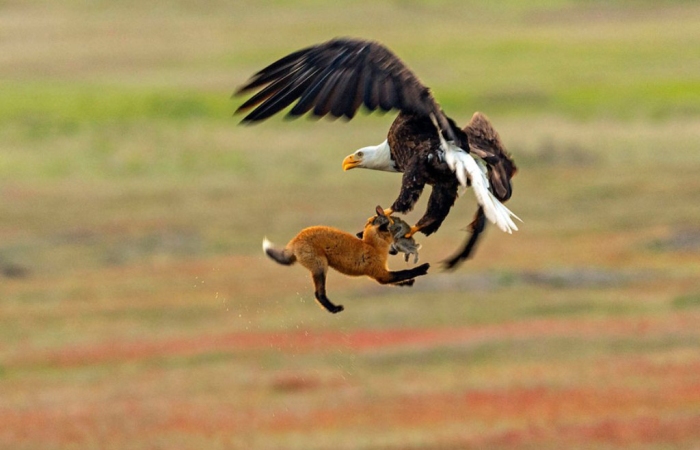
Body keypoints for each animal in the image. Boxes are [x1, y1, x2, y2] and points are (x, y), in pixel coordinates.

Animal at [262, 206, 431, 313]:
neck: (371, 246)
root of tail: (295, 239)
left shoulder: (381, 275)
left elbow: (398, 280)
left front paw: (408, 283)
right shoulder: (380, 274)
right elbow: (405, 272)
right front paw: (422, 268)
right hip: (321, 267)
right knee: (318, 294)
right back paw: (334, 309)